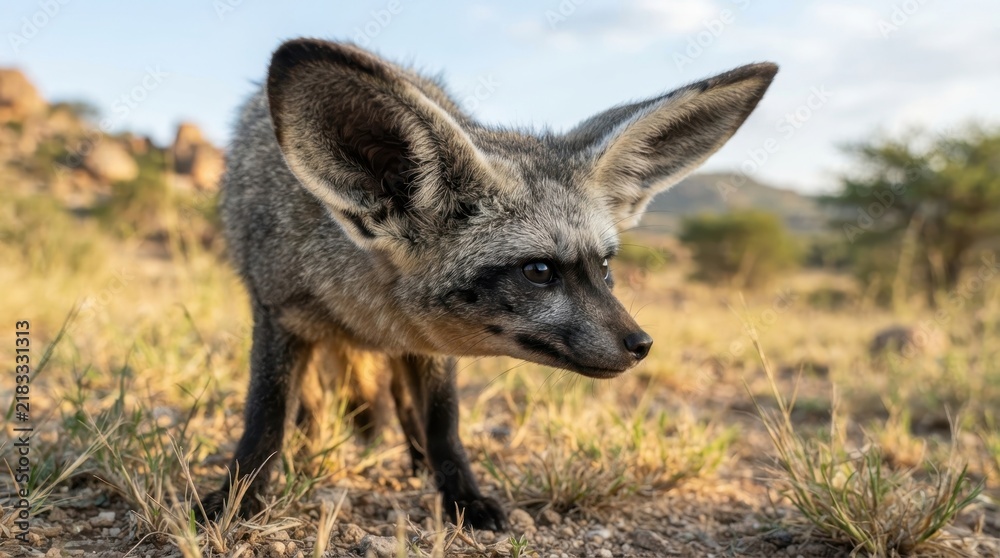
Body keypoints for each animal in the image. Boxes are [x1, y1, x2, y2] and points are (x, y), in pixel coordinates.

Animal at [204, 38, 777, 531]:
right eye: (540, 271)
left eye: (605, 268)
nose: (642, 345)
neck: (363, 312)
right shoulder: (277, 313)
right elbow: (265, 418)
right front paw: (238, 497)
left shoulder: (429, 350)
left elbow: (443, 424)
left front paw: (463, 497)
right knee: (317, 405)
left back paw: (412, 461)